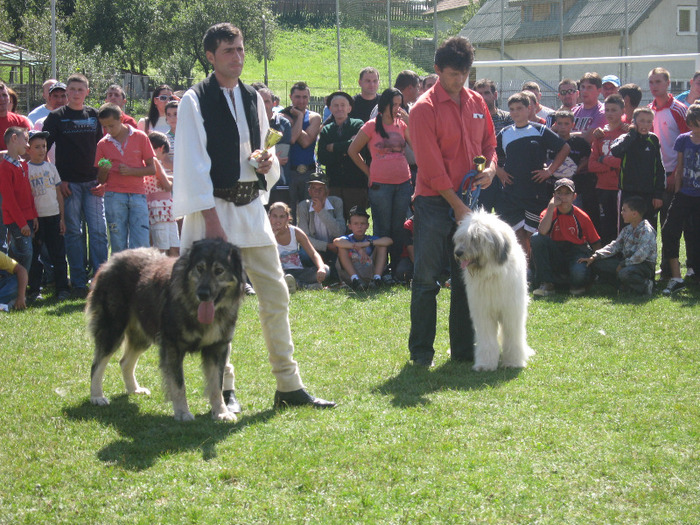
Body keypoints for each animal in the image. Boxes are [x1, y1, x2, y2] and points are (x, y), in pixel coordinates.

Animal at [87, 237, 246, 422]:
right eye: (199, 268)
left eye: (219, 271)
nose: (203, 294)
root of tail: (110, 260)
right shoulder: (172, 347)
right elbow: (178, 384)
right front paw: (182, 412)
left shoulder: (217, 348)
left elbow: (216, 385)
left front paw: (221, 412)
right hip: (113, 329)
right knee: (97, 365)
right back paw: (97, 396)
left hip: (142, 335)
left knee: (125, 362)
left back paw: (134, 389)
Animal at [452, 207, 532, 370]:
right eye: (461, 238)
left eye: (475, 238)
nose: (458, 253)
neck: (491, 273)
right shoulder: (483, 313)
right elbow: (487, 339)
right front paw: (485, 364)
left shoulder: (511, 311)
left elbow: (513, 336)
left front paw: (513, 362)